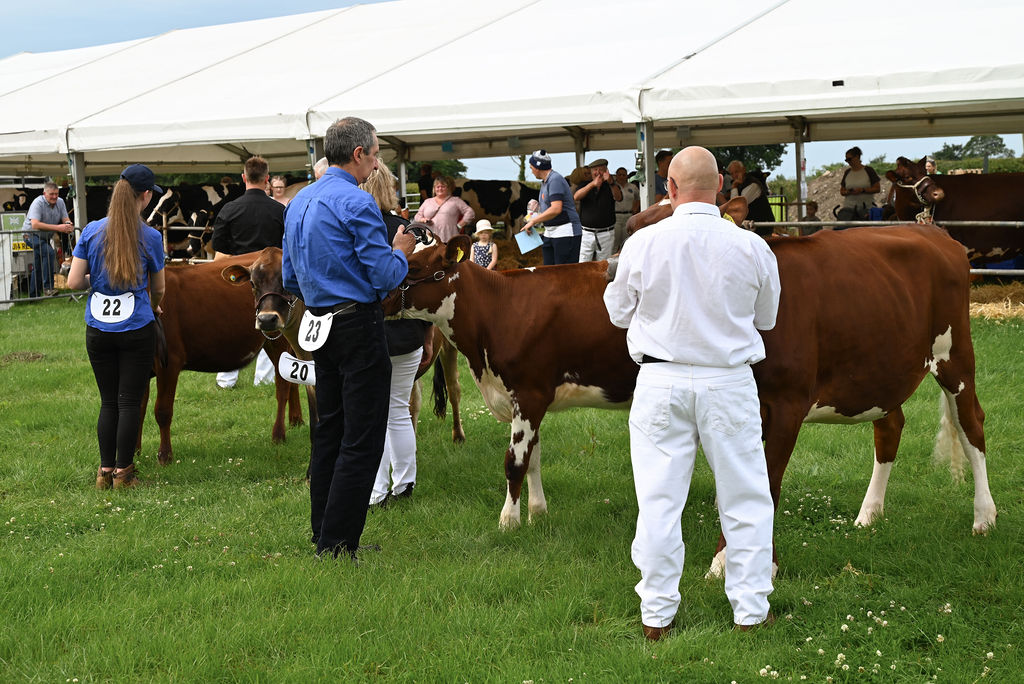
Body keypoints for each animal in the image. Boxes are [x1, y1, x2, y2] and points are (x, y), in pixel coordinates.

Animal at [142, 252, 305, 464]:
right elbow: (136, 409)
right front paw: (134, 454)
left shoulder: (169, 362)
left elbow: (162, 410)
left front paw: (165, 456)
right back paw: (296, 420)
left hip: (277, 338)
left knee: (282, 386)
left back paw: (278, 435)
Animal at [385, 224, 991, 565]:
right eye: (406, 261)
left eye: (424, 268)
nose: (382, 295)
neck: (500, 313)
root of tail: (937, 234)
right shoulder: (528, 396)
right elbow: (532, 460)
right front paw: (535, 514)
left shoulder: (528, 390)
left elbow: (514, 462)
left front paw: (508, 524)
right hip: (884, 370)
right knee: (890, 427)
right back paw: (869, 516)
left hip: (954, 355)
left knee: (973, 423)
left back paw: (984, 518)